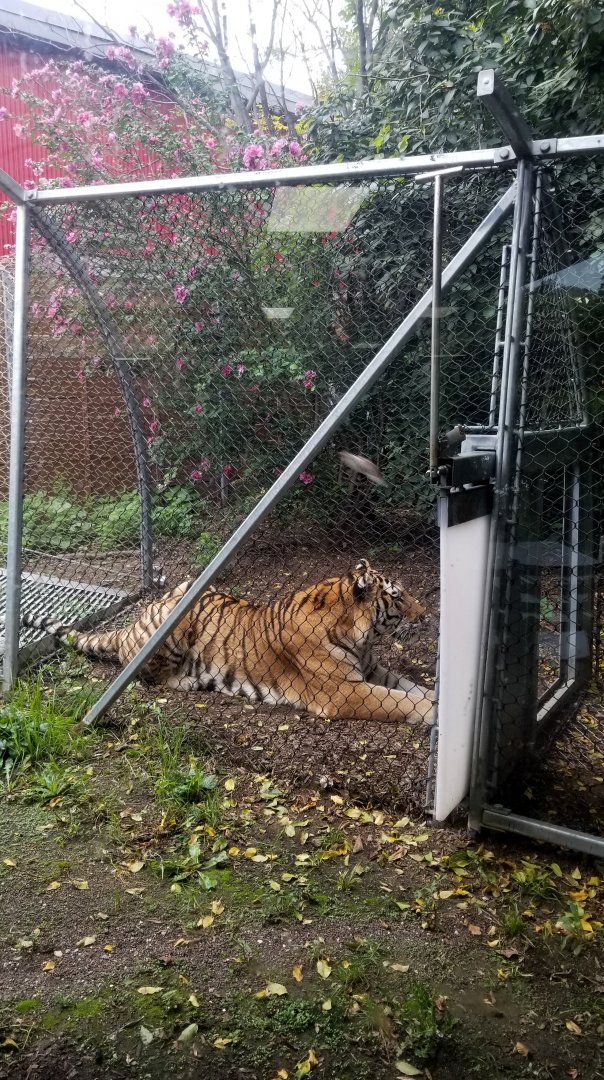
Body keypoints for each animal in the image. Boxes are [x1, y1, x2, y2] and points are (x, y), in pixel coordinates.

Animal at [22, 560, 434, 724]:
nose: (427, 613)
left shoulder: (372, 669)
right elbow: (397, 701)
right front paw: (434, 716)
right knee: (145, 675)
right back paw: (190, 681)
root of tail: (132, 623)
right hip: (175, 627)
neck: (362, 639)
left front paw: (437, 699)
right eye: (398, 597)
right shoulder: (344, 692)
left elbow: (412, 689)